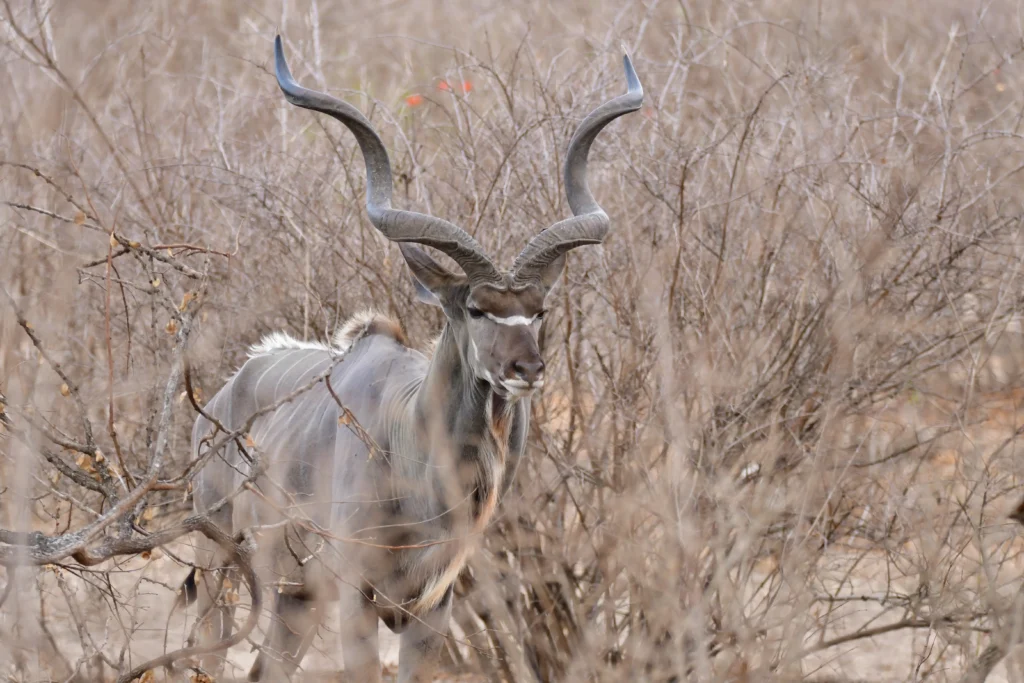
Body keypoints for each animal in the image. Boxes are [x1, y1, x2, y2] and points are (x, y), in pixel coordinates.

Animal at [184, 36, 638, 683]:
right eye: (475, 308)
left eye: (539, 310)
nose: (527, 371)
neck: (413, 448)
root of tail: (221, 398)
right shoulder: (356, 594)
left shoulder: (431, 607)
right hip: (221, 564)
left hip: (295, 599)